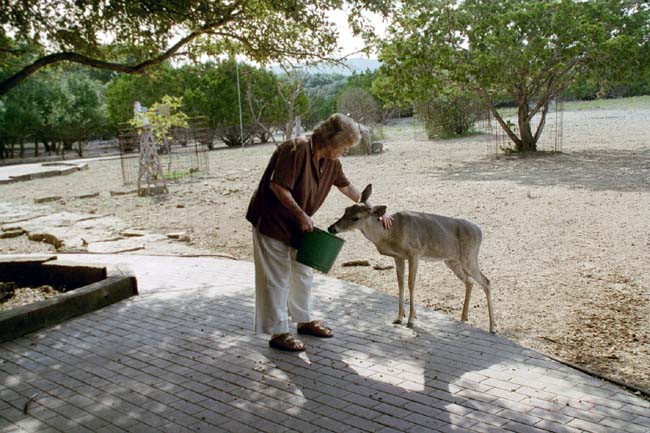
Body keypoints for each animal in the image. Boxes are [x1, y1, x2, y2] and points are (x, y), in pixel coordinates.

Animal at [326, 184, 494, 332]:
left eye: (355, 217)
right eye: (346, 210)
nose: (331, 228)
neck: (390, 234)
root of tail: (480, 232)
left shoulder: (414, 252)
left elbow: (410, 284)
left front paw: (411, 320)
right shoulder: (399, 257)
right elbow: (400, 284)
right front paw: (399, 318)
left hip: (469, 256)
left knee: (486, 281)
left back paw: (492, 327)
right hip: (451, 260)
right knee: (469, 281)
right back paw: (463, 318)